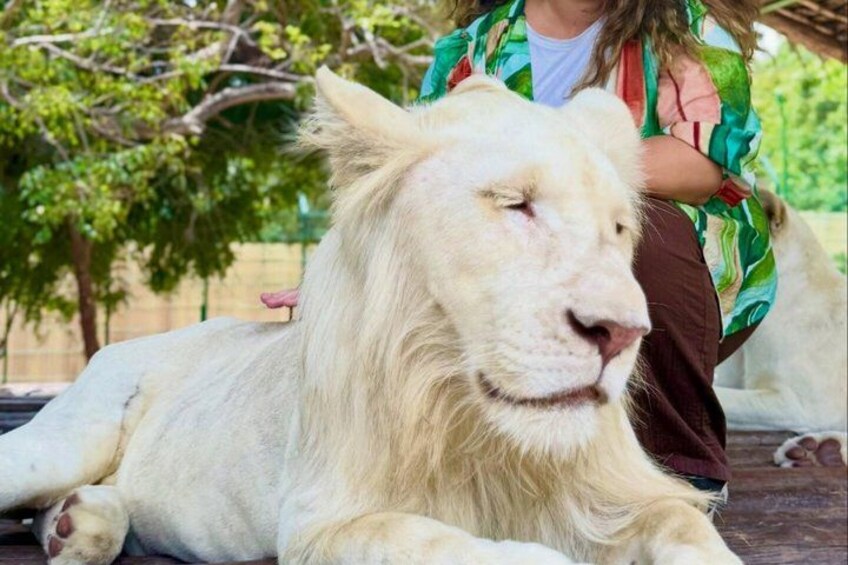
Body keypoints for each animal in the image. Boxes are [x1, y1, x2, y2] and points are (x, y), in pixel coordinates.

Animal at [0, 68, 740, 564]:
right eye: (515, 203)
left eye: (617, 228)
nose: (621, 334)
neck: (479, 428)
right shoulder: (322, 523)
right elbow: (444, 542)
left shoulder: (621, 498)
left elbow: (686, 528)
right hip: (63, 440)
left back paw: (80, 526)